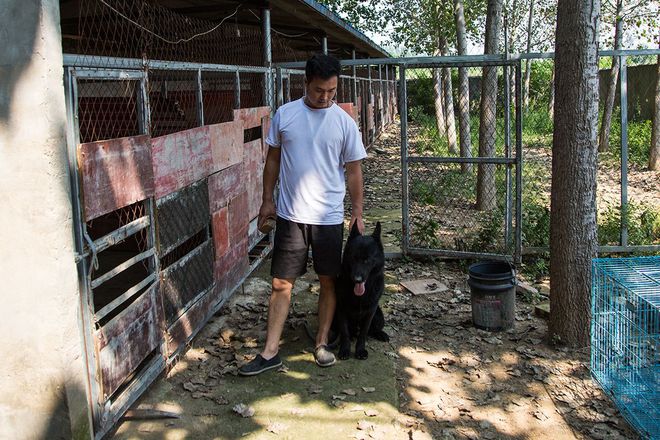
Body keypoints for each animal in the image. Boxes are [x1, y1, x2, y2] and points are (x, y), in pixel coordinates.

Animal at [336, 222, 386, 360]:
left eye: (367, 260)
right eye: (353, 258)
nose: (357, 279)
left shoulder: (370, 312)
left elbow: (363, 332)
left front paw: (360, 350)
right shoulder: (341, 310)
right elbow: (344, 332)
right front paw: (345, 349)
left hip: (379, 316)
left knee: (373, 330)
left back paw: (381, 334)